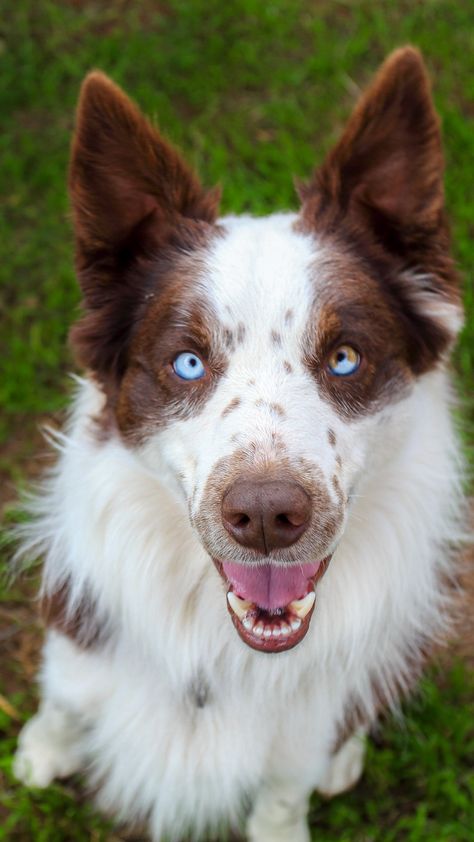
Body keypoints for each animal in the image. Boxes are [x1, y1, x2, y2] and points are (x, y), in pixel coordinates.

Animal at [13, 47, 462, 840]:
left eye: (345, 357)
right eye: (188, 362)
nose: (263, 516)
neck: (222, 649)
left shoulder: (304, 733)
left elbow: (285, 788)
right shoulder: (80, 637)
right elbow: (65, 696)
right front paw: (40, 750)